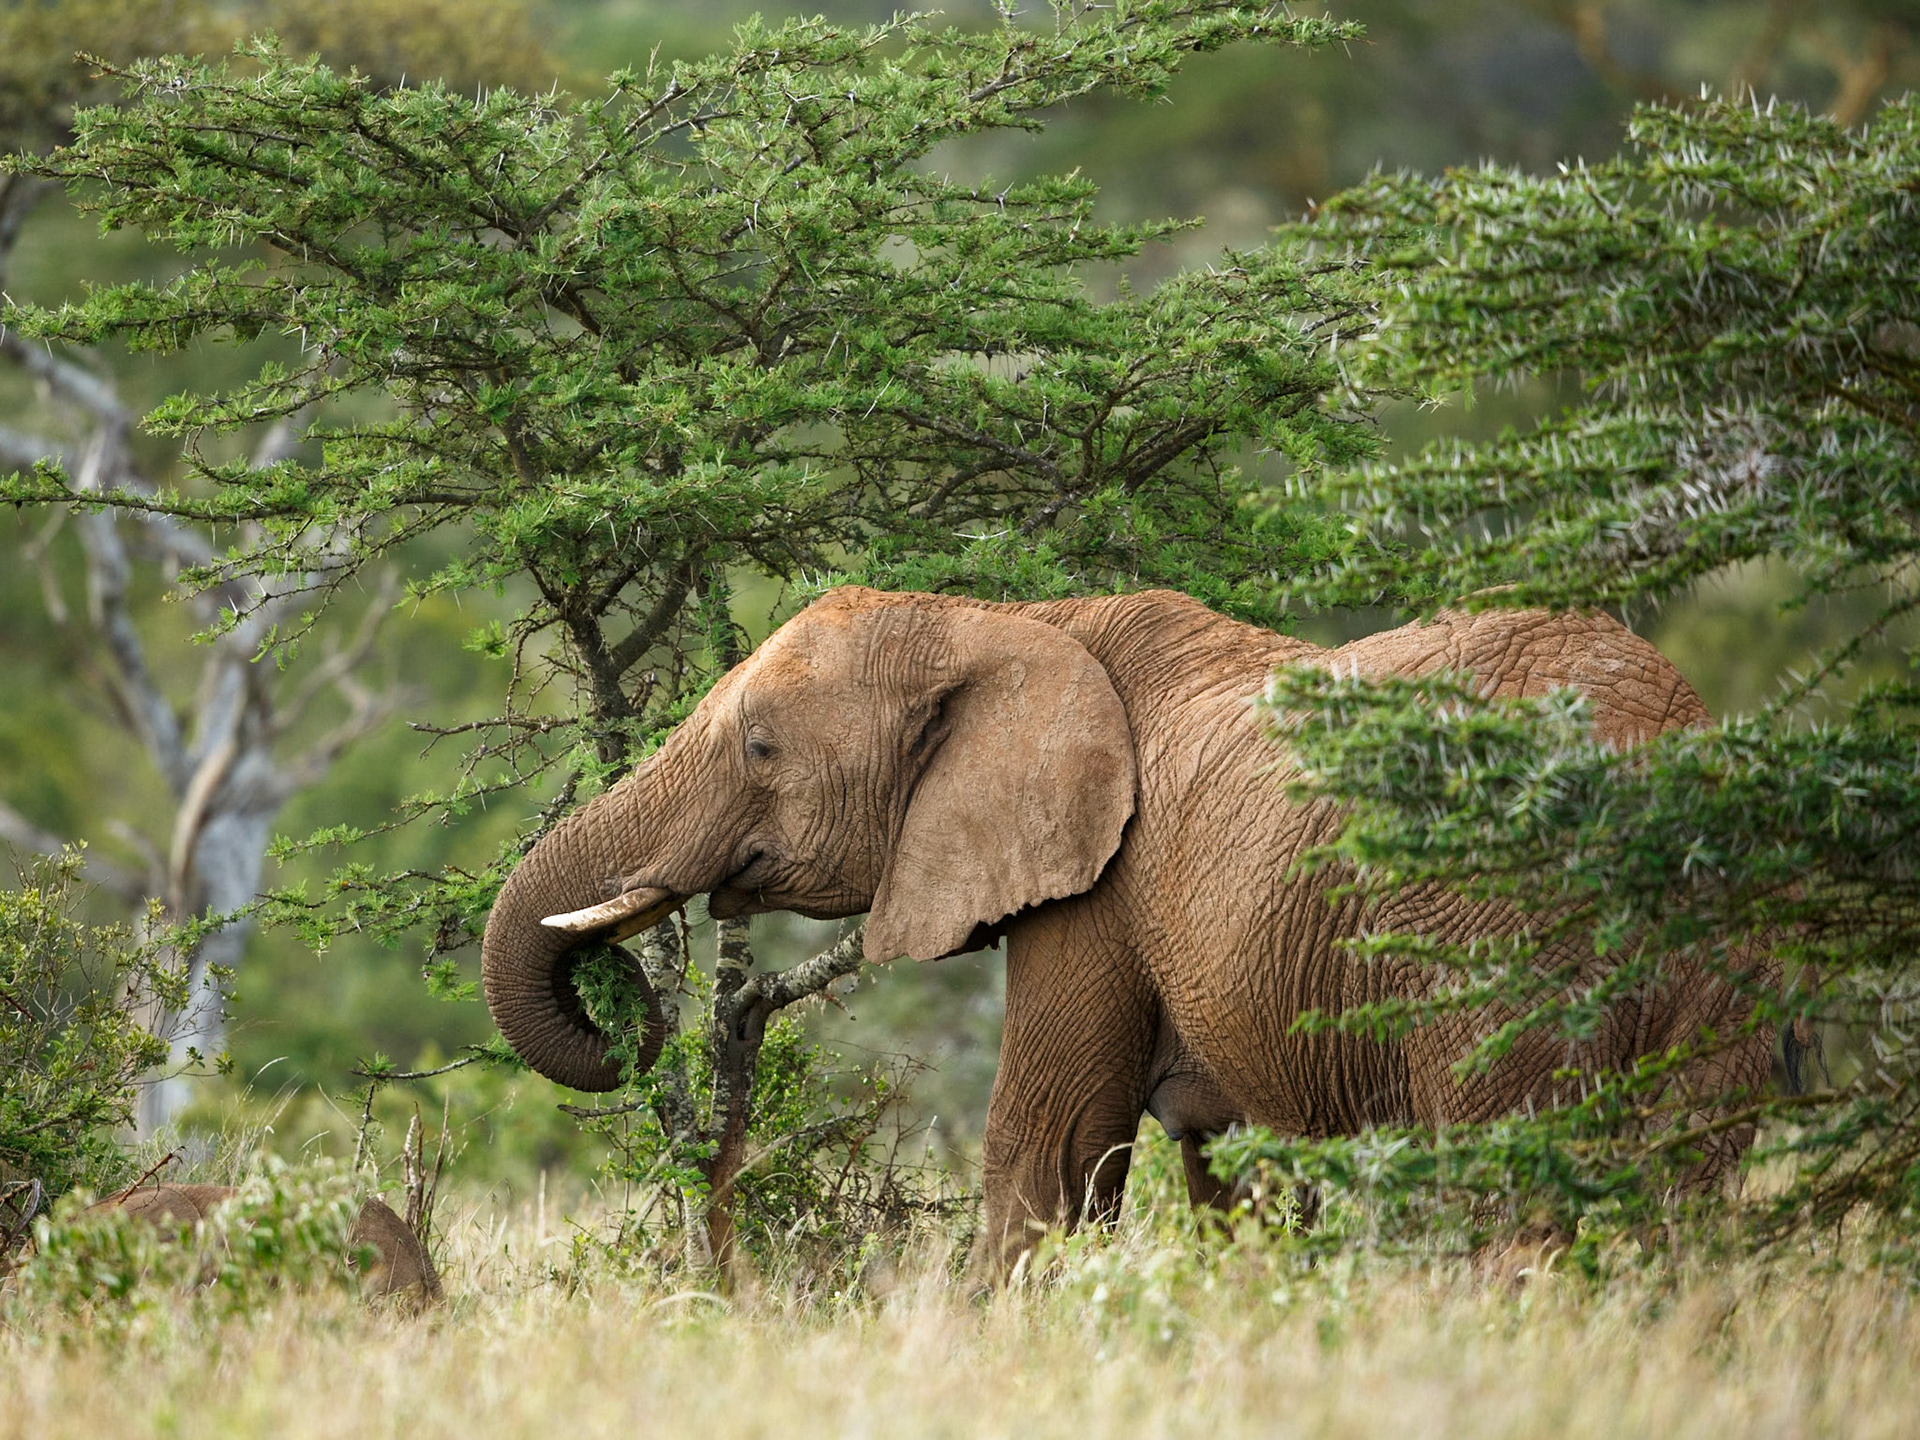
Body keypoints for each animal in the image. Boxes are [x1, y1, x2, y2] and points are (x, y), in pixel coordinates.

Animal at [481, 586, 1771, 1269]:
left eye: (758, 747)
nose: (628, 1011)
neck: (1002, 624)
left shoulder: (1096, 893)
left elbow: (1050, 1154)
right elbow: (1235, 1175)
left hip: (1497, 925)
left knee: (1506, 1178)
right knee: (1692, 1171)